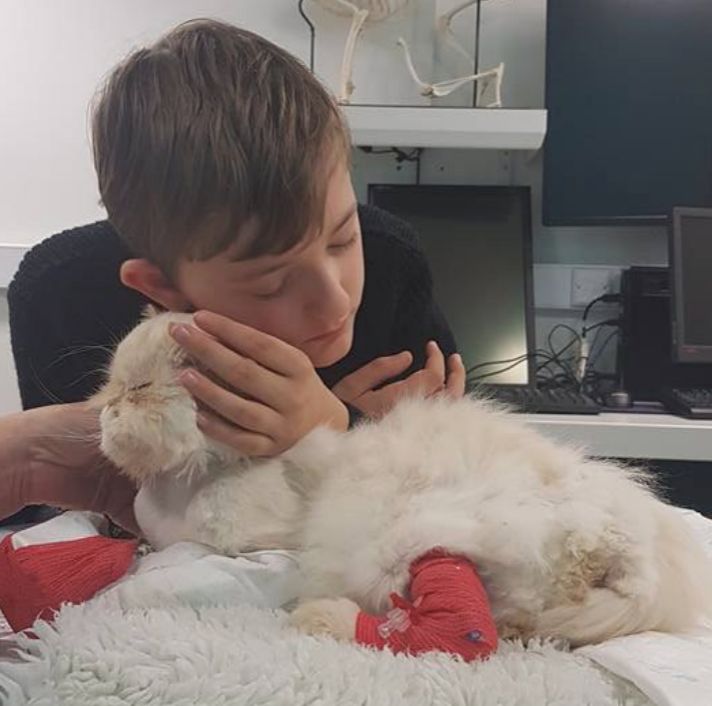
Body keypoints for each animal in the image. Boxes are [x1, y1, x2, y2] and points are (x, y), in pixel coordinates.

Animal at [94, 308, 712, 647]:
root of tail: (640, 562)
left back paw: (321, 618)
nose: (105, 409)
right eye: (109, 386)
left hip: (411, 540)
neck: (180, 486)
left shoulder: (264, 537)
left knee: (453, 632)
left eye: (138, 390)